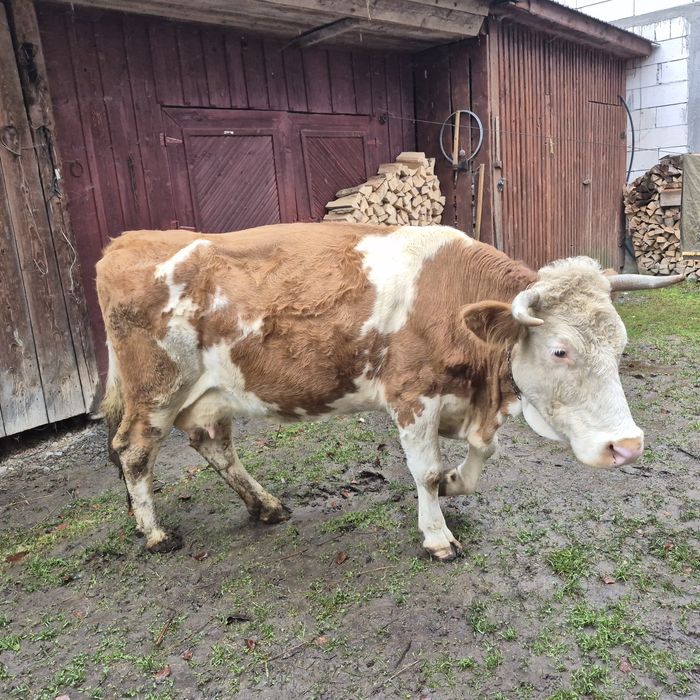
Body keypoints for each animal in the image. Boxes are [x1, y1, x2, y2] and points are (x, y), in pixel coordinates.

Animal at [96, 223, 681, 561]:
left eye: (621, 345)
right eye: (560, 350)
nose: (628, 447)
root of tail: (124, 242)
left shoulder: (464, 400)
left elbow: (480, 455)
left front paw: (455, 484)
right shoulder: (411, 395)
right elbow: (424, 472)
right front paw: (437, 535)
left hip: (209, 392)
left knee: (214, 444)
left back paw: (265, 506)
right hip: (157, 387)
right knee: (133, 450)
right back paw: (154, 533)